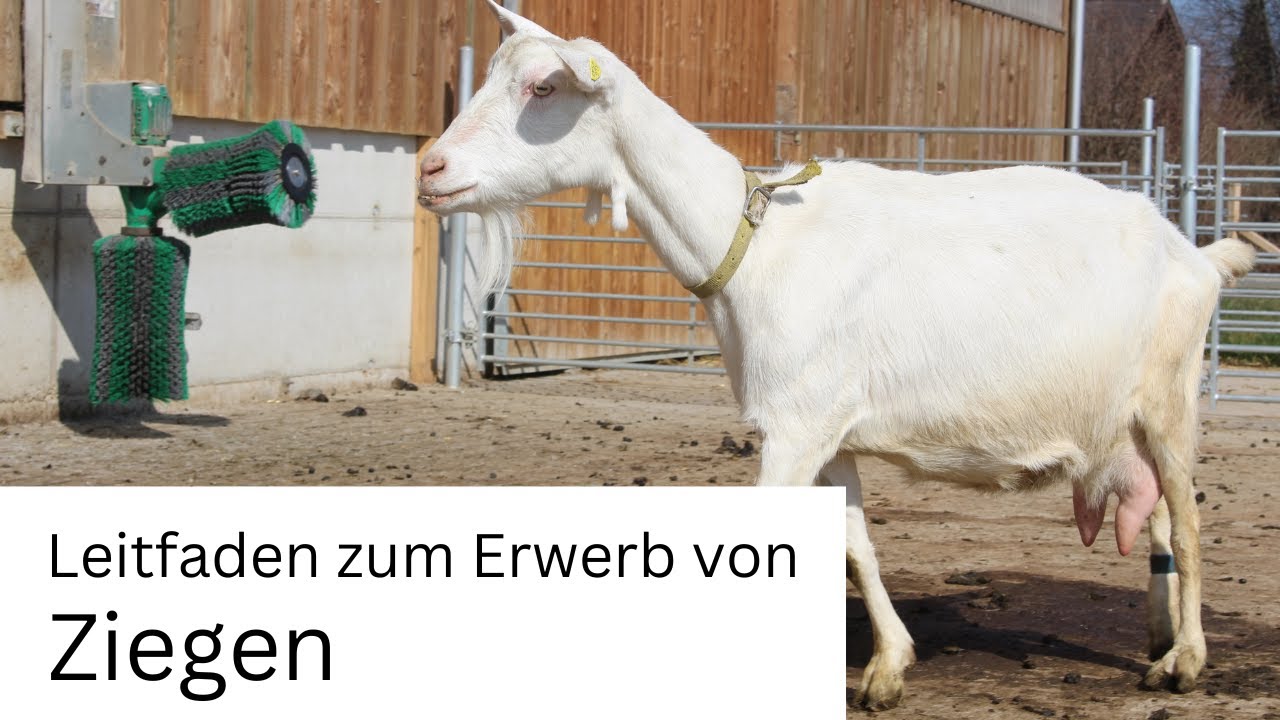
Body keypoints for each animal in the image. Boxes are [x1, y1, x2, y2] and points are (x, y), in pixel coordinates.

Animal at [418, 2, 1256, 710]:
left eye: (543, 85)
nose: (429, 167)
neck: (754, 243)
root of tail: (1194, 254)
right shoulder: (827, 427)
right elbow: (857, 544)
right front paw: (889, 667)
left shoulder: (794, 429)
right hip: (1127, 417)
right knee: (1155, 516)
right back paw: (1158, 635)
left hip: (1171, 397)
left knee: (1186, 520)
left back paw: (1186, 660)